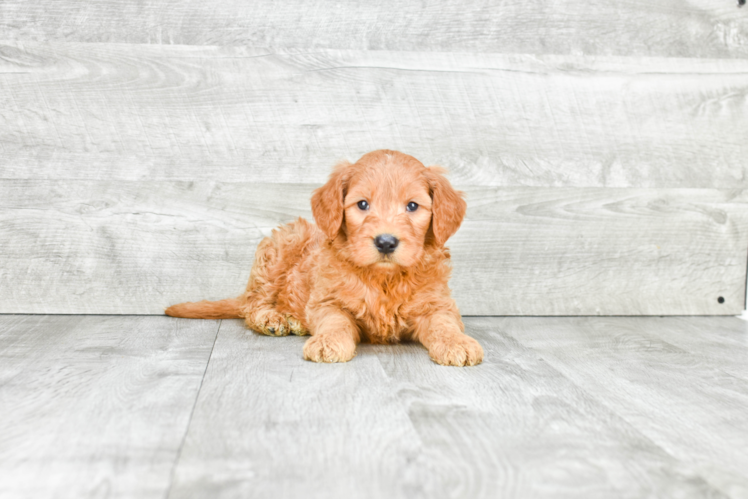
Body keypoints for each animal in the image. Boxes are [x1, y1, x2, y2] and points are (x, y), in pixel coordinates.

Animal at [167, 150, 486, 366]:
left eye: (412, 206)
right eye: (362, 204)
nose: (385, 242)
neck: (383, 279)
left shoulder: (437, 304)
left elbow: (444, 324)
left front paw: (458, 343)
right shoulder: (327, 301)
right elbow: (336, 321)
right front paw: (328, 342)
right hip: (280, 248)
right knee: (251, 306)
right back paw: (272, 318)